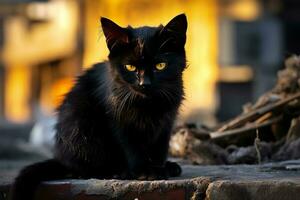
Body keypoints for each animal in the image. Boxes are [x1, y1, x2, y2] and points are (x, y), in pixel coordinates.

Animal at [10, 14, 188, 200]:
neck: (147, 104)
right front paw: (144, 171)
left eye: (160, 66)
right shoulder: (118, 120)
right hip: (81, 125)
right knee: (82, 169)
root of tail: (61, 158)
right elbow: (131, 147)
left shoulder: (166, 121)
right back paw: (117, 171)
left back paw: (169, 166)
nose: (144, 83)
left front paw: (160, 167)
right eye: (130, 67)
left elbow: (160, 147)